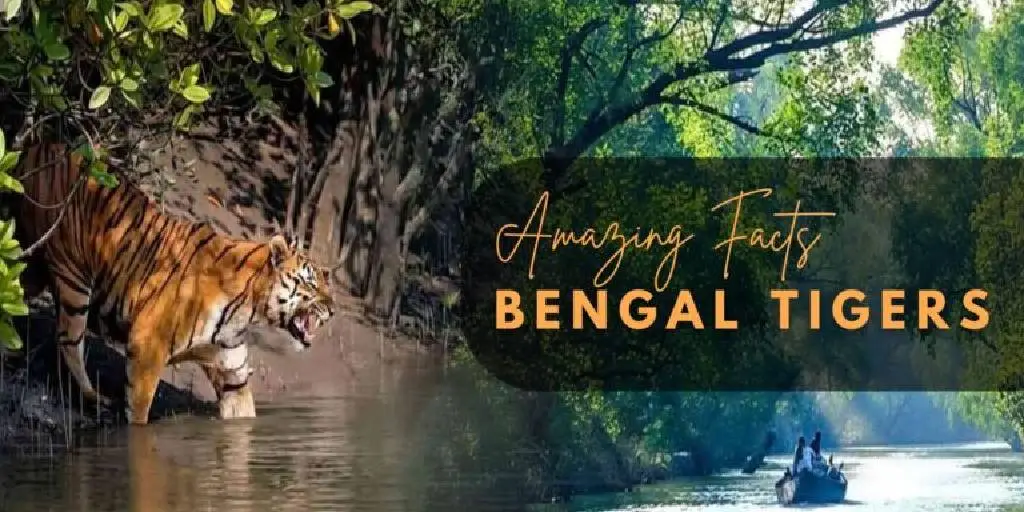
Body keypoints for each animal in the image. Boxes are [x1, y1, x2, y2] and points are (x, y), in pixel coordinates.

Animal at [10, 142, 335, 425]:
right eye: (311, 284)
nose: (332, 310)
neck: (247, 309)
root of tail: (43, 143)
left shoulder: (233, 373)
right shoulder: (146, 347)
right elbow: (139, 411)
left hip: (34, 264)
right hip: (73, 280)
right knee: (69, 342)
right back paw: (94, 397)